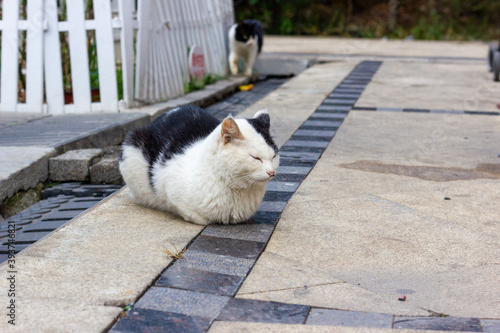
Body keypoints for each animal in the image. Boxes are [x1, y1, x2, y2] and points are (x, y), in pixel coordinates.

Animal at [119, 104, 280, 224]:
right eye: (255, 158)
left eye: (274, 156)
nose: (271, 172)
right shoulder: (169, 184)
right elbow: (193, 214)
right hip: (132, 145)